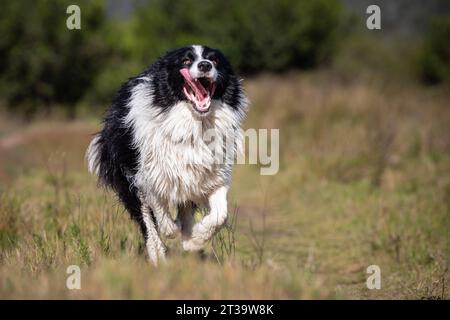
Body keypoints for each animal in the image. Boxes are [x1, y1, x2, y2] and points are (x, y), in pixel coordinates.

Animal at [86, 45, 248, 264]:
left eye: (214, 60)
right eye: (186, 61)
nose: (205, 65)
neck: (195, 123)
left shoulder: (213, 175)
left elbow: (220, 214)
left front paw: (197, 238)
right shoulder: (146, 175)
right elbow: (158, 211)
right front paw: (171, 230)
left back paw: (187, 237)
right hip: (127, 179)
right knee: (146, 220)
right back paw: (158, 256)